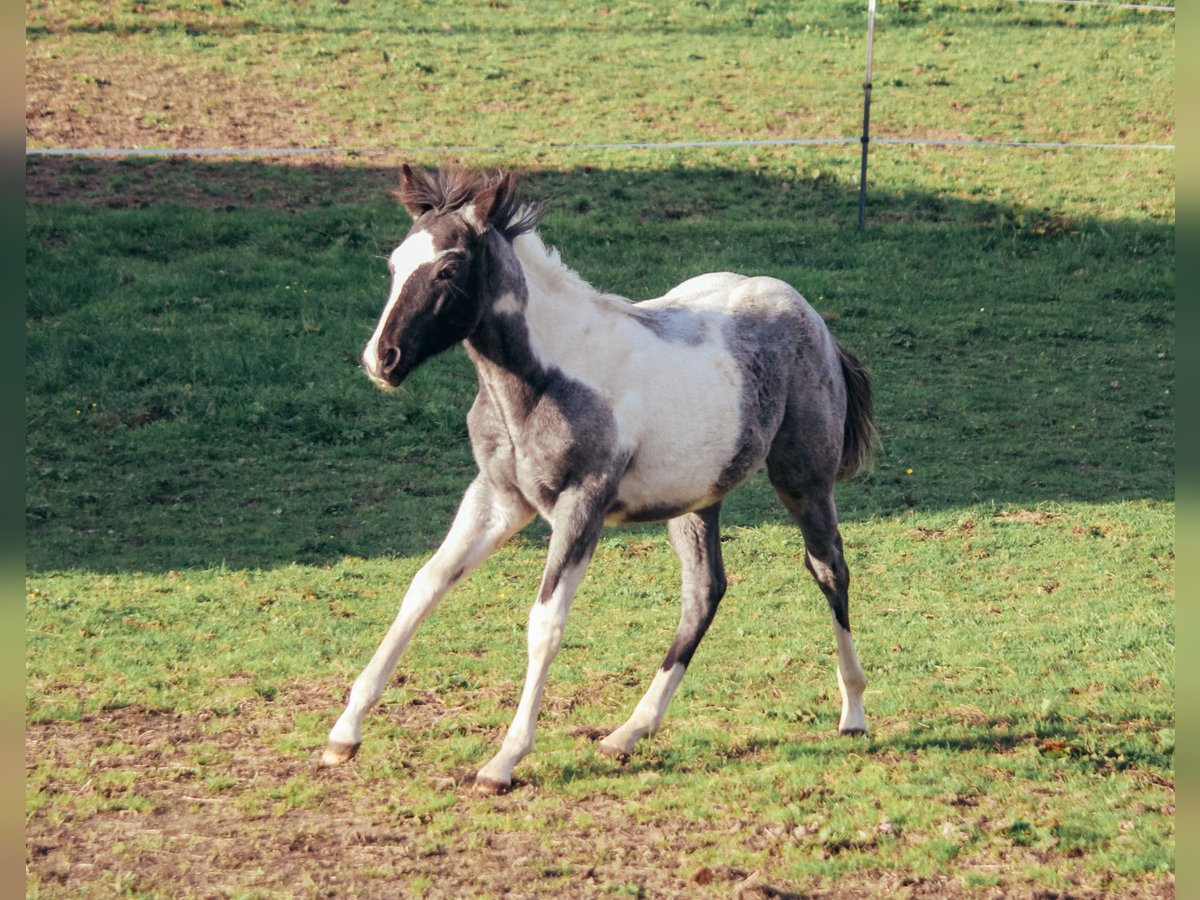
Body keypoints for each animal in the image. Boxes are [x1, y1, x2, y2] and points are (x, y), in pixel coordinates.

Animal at [322, 165, 878, 793]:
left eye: (447, 268)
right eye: (395, 263)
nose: (381, 359)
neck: (545, 379)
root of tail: (807, 311)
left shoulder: (580, 504)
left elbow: (545, 623)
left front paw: (503, 761)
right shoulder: (497, 497)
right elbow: (424, 585)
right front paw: (344, 733)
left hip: (804, 478)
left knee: (829, 568)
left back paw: (854, 712)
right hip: (694, 499)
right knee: (704, 593)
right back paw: (628, 733)